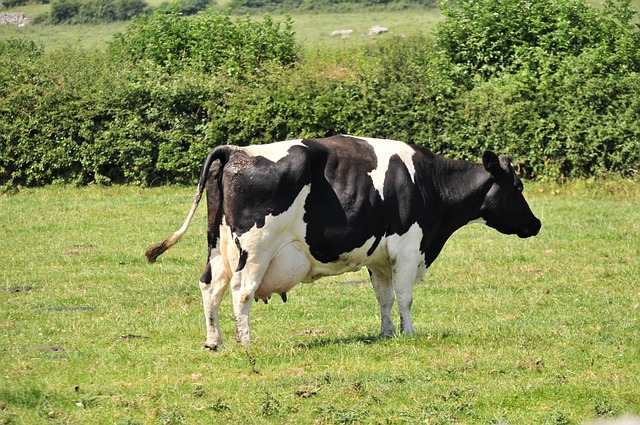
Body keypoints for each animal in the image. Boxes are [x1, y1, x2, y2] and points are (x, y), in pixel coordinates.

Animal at [145, 135, 540, 348]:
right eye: (518, 187)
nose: (536, 224)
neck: (428, 182)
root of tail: (236, 151)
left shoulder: (379, 257)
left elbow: (383, 297)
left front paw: (387, 333)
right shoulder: (408, 247)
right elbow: (405, 296)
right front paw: (409, 332)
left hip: (218, 247)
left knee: (210, 286)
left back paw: (215, 341)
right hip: (255, 250)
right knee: (241, 292)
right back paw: (246, 342)